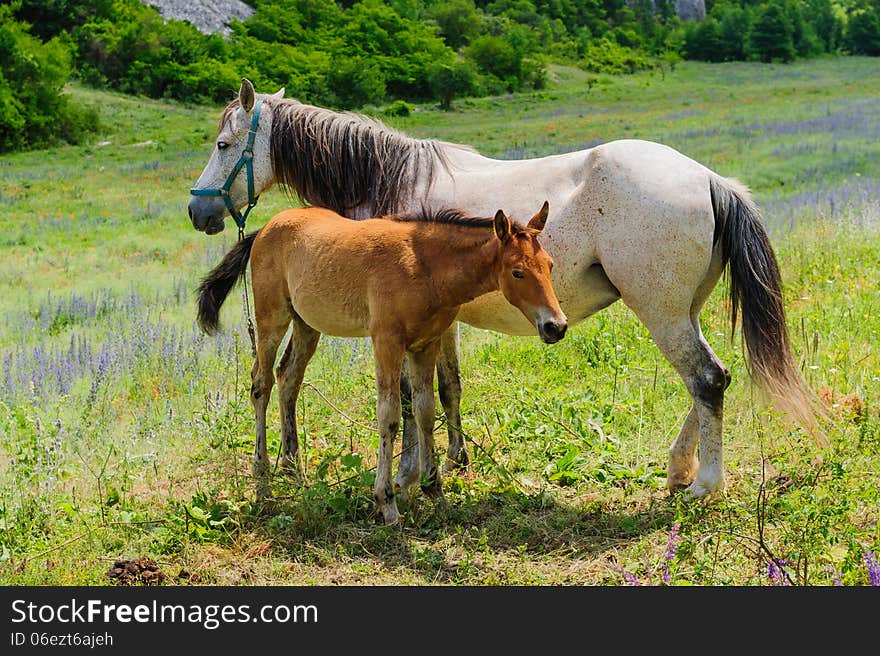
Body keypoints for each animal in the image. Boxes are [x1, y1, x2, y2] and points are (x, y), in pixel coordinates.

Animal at [187, 78, 820, 498]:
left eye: (223, 145)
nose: (198, 212)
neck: (390, 179)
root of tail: (711, 179)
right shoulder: (437, 323)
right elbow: (445, 391)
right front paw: (451, 463)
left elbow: (413, 401)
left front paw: (412, 474)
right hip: (681, 310)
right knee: (708, 380)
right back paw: (678, 468)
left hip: (660, 311)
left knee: (706, 379)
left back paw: (703, 485)